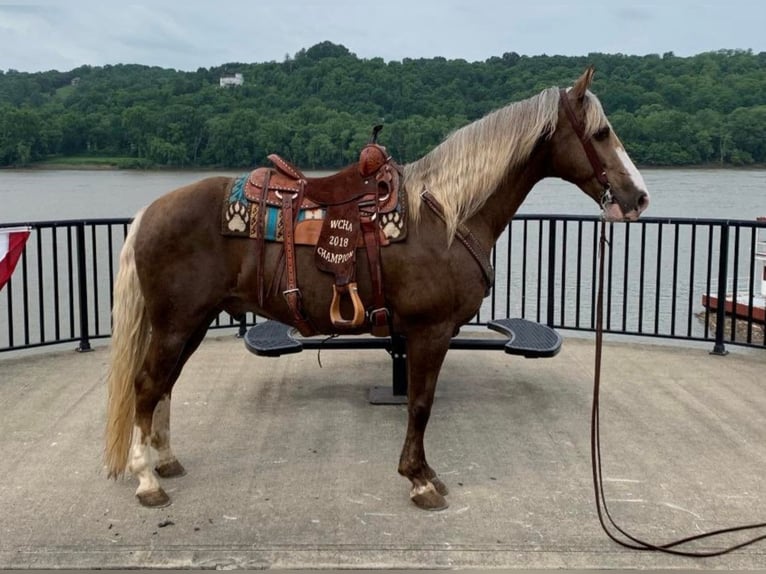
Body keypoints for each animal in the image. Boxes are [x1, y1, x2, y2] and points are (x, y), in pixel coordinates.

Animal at [105, 67, 652, 512]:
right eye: (601, 132)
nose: (639, 197)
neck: (448, 215)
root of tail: (149, 213)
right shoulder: (431, 331)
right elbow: (420, 404)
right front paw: (420, 480)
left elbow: (419, 403)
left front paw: (422, 475)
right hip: (175, 324)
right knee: (147, 386)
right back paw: (147, 480)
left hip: (190, 323)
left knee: (165, 387)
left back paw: (167, 461)